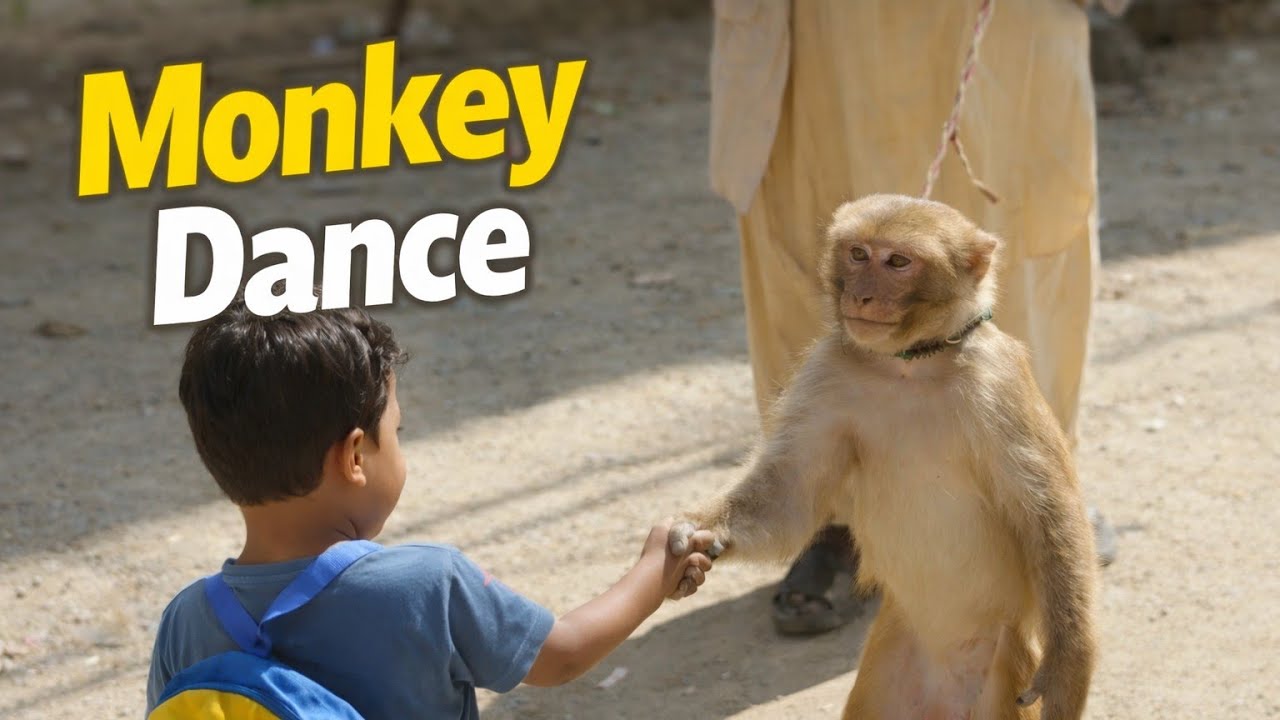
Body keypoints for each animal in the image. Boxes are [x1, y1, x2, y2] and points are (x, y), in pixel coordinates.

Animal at [670, 194, 1097, 720]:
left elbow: (1047, 510)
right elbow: (789, 495)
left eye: (897, 262)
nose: (861, 297)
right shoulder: (827, 371)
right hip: (888, 666)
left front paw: (1068, 661)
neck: (910, 364)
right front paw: (697, 533)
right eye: (858, 254)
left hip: (1003, 676)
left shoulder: (1000, 382)